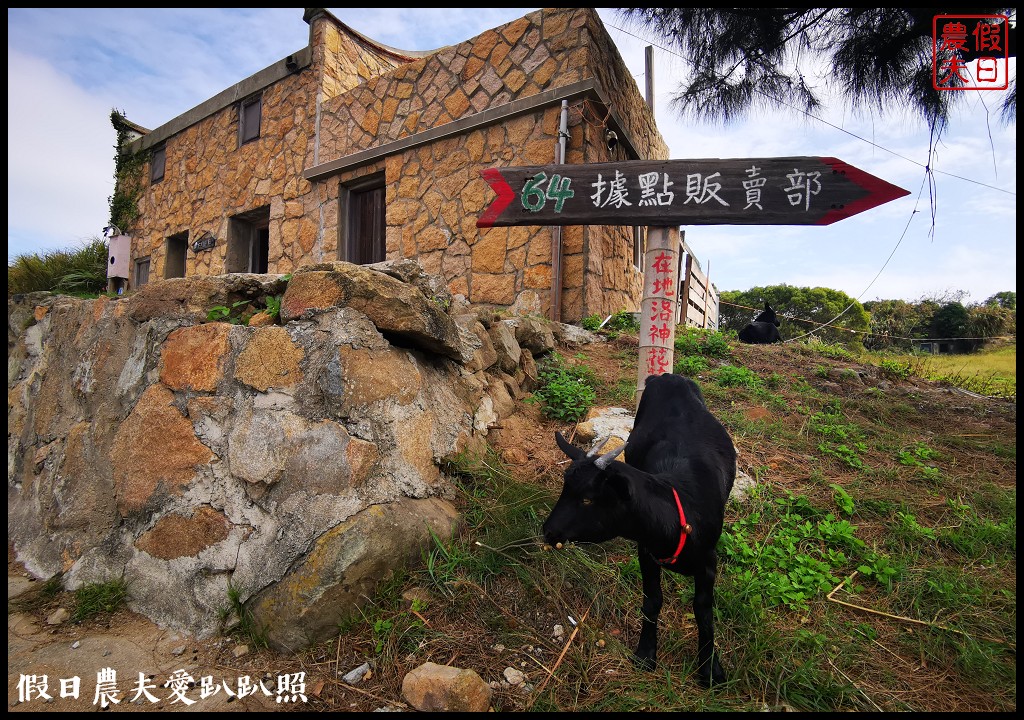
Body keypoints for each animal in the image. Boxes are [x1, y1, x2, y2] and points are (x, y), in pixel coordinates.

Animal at [544, 372, 737, 688]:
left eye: (587, 499)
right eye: (564, 489)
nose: (548, 531)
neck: (680, 509)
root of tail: (668, 376)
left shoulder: (709, 561)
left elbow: (703, 610)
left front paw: (710, 669)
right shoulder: (647, 553)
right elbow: (652, 601)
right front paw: (646, 653)